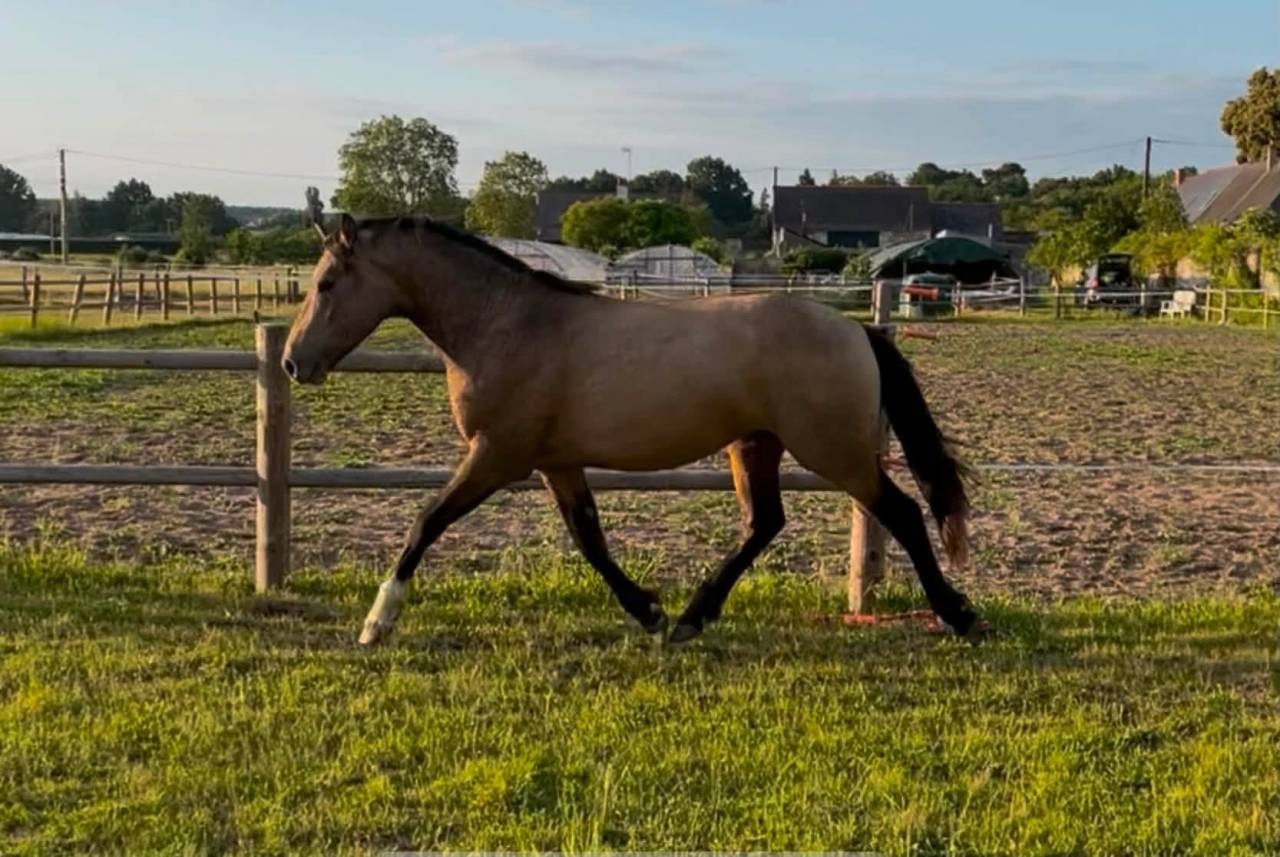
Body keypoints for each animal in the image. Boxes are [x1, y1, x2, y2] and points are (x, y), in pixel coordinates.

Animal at [283, 214, 980, 646]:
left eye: (326, 282)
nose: (293, 362)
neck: (505, 325)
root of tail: (856, 330)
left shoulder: (496, 456)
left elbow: (425, 522)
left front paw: (377, 623)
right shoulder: (556, 462)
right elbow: (590, 539)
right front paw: (647, 611)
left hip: (834, 452)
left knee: (902, 512)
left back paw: (959, 615)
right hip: (755, 445)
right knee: (765, 523)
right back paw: (693, 618)